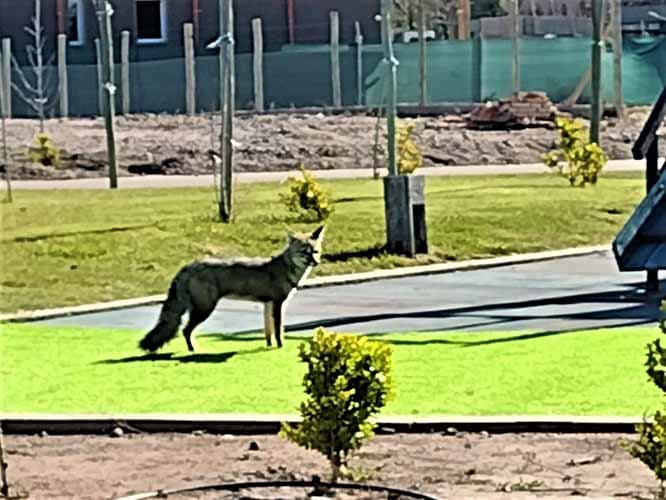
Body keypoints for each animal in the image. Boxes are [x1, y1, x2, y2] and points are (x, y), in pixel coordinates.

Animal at [139, 225, 325, 352]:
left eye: (315, 252)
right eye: (304, 252)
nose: (316, 262)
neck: (286, 269)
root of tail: (188, 266)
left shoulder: (268, 305)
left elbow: (269, 332)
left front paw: (269, 346)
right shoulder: (277, 304)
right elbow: (279, 331)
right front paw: (280, 347)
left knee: (185, 330)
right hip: (204, 309)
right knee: (185, 330)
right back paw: (193, 351)